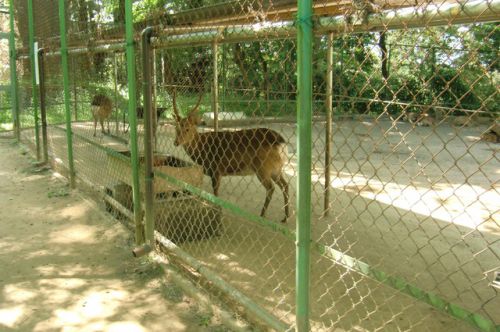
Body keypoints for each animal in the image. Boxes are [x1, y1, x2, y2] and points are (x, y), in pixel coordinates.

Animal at [171, 89, 290, 223]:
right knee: (285, 185)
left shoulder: (216, 170)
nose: (176, 142)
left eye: (187, 128)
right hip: (276, 168)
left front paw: (217, 214)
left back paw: (262, 215)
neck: (203, 150)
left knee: (271, 188)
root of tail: (282, 143)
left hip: (262, 167)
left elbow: (216, 195)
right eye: (176, 128)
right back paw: (285, 217)